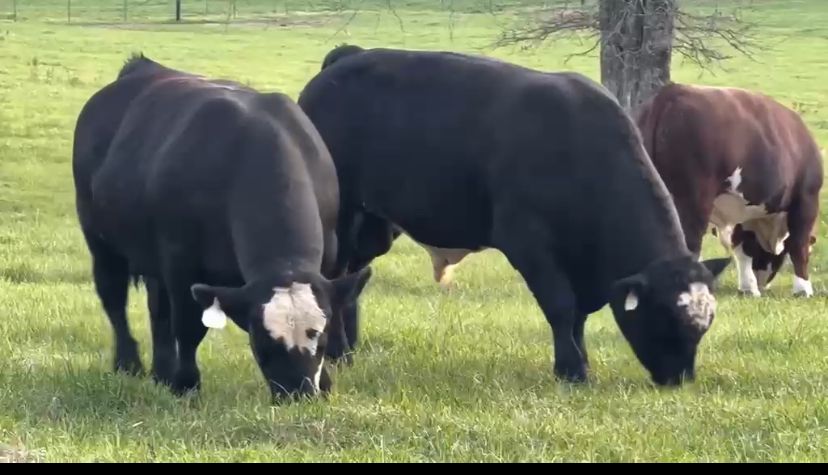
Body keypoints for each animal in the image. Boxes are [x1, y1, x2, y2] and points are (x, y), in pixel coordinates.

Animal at [72, 53, 372, 402]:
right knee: (114, 299)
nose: (297, 393)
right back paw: (128, 363)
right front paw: (186, 384)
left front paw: (325, 385)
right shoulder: (181, 263)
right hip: (102, 243)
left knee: (157, 311)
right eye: (262, 345)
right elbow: (188, 327)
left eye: (319, 343)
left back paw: (161, 371)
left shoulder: (331, 260)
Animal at [298, 45, 731, 387]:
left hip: (372, 225)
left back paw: (347, 350)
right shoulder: (529, 243)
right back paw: (338, 349)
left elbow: (578, 316)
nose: (679, 378)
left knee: (354, 277)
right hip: (343, 216)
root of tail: (347, 58)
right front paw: (573, 370)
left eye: (706, 322)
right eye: (665, 317)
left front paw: (576, 362)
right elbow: (562, 306)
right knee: (335, 275)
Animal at [634, 83, 823, 297]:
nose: (763, 283)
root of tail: (671, 91)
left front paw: (748, 287)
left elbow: (742, 247)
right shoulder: (806, 199)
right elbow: (798, 246)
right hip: (692, 202)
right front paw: (803, 289)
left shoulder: (743, 208)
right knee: (690, 244)